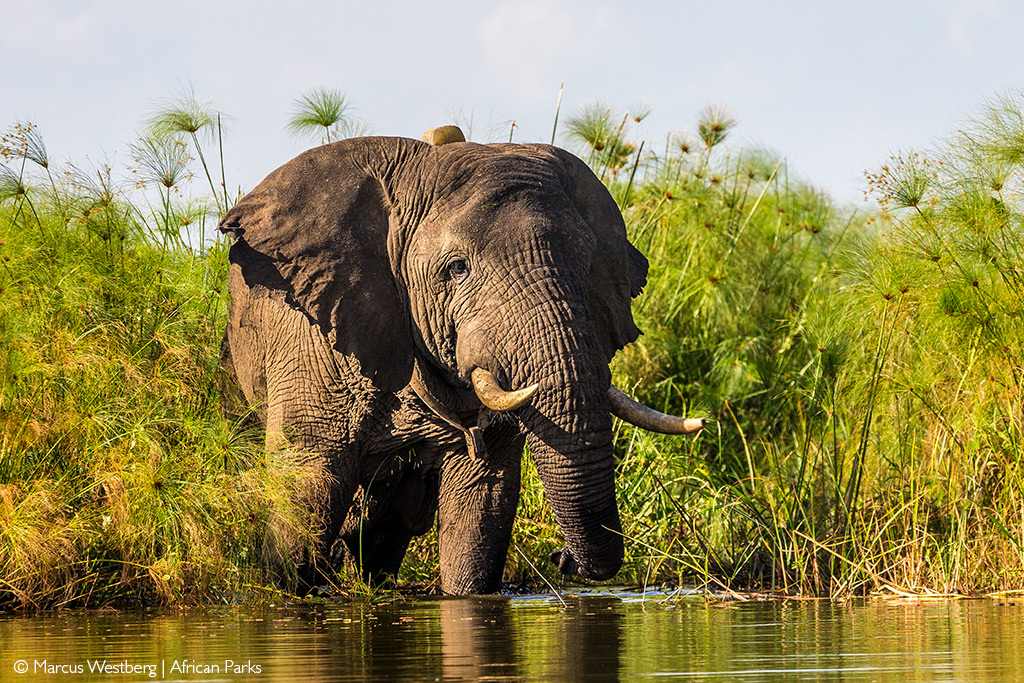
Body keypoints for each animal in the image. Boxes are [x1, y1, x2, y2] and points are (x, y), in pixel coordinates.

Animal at [221, 125, 704, 593]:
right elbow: (306, 488)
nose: (562, 557)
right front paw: (285, 594)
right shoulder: (312, 341)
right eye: (457, 269)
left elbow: (481, 502)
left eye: (588, 265)